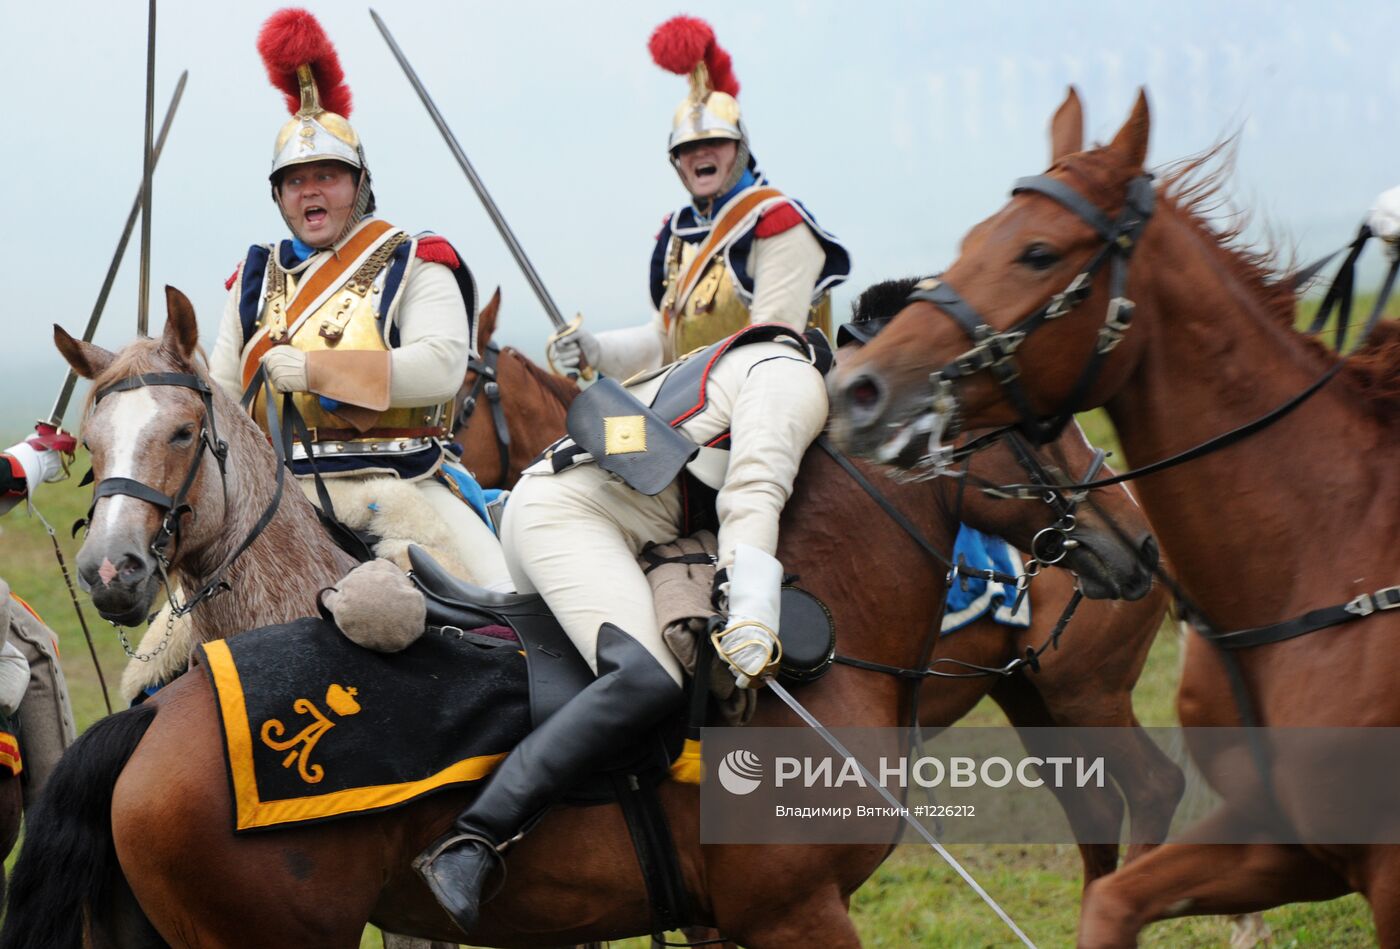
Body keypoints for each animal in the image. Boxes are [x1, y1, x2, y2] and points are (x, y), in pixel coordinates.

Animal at [823, 85, 1400, 946]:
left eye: (1038, 252)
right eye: (969, 241)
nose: (859, 389)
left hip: (1083, 692)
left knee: (1145, 787)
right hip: (1037, 698)